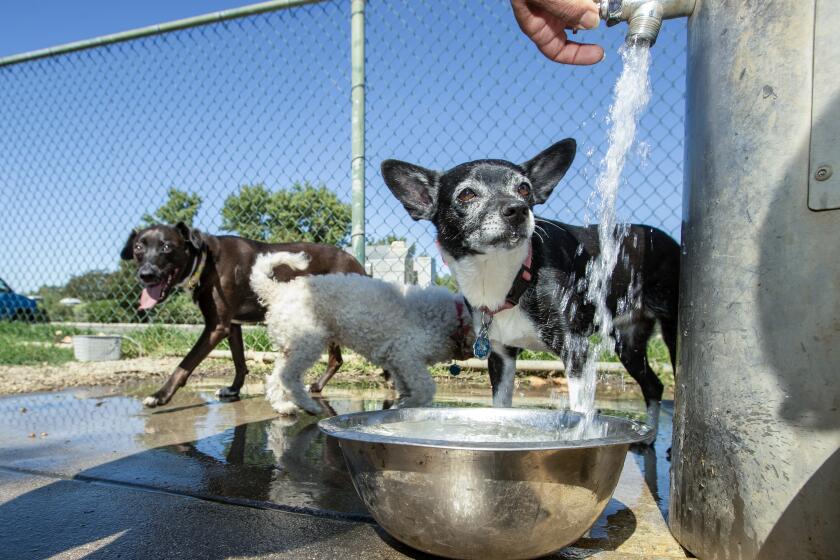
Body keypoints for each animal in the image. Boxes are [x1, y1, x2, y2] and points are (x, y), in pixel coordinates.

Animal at [120, 221, 364, 410]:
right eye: (139, 247)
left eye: (167, 247)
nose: (146, 275)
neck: (207, 262)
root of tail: (356, 262)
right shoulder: (232, 325)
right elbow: (239, 361)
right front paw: (233, 389)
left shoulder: (216, 327)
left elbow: (185, 364)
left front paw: (160, 396)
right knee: (337, 359)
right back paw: (318, 386)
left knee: (338, 357)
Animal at [249, 252, 472, 414]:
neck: (456, 317)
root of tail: (279, 291)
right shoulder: (407, 353)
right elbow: (425, 388)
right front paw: (411, 405)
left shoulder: (397, 360)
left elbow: (405, 386)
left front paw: (401, 405)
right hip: (307, 341)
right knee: (288, 376)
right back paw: (309, 405)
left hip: (292, 345)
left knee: (276, 376)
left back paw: (283, 407)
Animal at [384, 139, 680, 434]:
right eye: (467, 194)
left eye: (524, 188)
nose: (517, 208)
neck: (507, 277)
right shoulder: (501, 357)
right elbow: (500, 409)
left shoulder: (576, 351)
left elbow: (581, 411)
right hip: (627, 343)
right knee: (654, 386)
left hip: (670, 331)